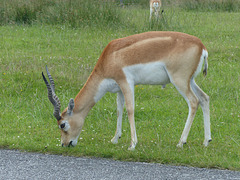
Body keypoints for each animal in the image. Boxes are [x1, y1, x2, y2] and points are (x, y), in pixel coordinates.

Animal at [42, 31, 211, 150]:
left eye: (62, 124)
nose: (65, 143)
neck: (110, 58)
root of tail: (201, 46)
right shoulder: (118, 88)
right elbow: (119, 110)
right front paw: (115, 139)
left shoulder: (126, 82)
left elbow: (130, 109)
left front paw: (132, 144)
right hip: (190, 80)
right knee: (204, 98)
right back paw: (206, 140)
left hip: (179, 80)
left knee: (193, 102)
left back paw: (181, 142)